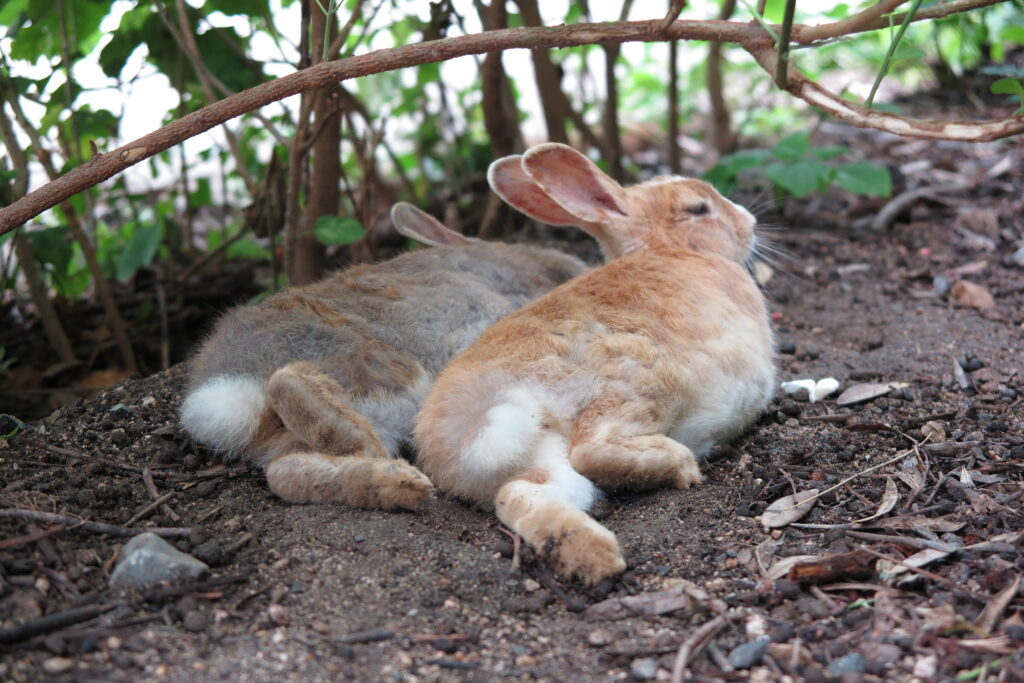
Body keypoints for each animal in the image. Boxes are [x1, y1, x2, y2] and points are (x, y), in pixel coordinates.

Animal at [180, 200, 589, 509]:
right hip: (379, 371)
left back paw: (392, 484)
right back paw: (374, 456)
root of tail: (232, 388)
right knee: (290, 383)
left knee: (283, 472)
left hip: (291, 435)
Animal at [411, 144, 770, 581]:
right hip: (643, 380)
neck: (672, 248)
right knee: (590, 449)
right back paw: (678, 467)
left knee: (517, 493)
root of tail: (472, 422)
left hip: (542, 457)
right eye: (698, 208)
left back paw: (594, 555)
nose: (750, 223)